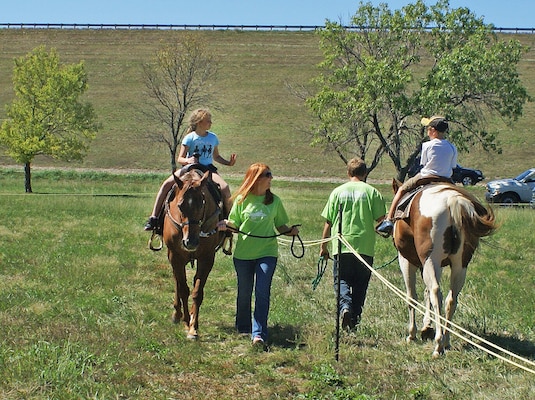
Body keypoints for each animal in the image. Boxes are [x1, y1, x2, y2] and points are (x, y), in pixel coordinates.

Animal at [161, 167, 224, 340]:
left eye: (202, 204)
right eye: (180, 205)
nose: (191, 242)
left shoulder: (207, 258)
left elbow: (197, 292)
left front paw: (193, 327)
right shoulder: (175, 256)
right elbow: (183, 289)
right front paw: (185, 319)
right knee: (177, 282)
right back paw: (177, 314)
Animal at [392, 180, 496, 358]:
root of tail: (454, 201)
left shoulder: (406, 260)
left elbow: (412, 297)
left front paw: (412, 333)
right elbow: (426, 293)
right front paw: (426, 326)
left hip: (430, 261)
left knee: (436, 293)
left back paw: (438, 344)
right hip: (460, 265)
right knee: (451, 299)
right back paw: (446, 340)